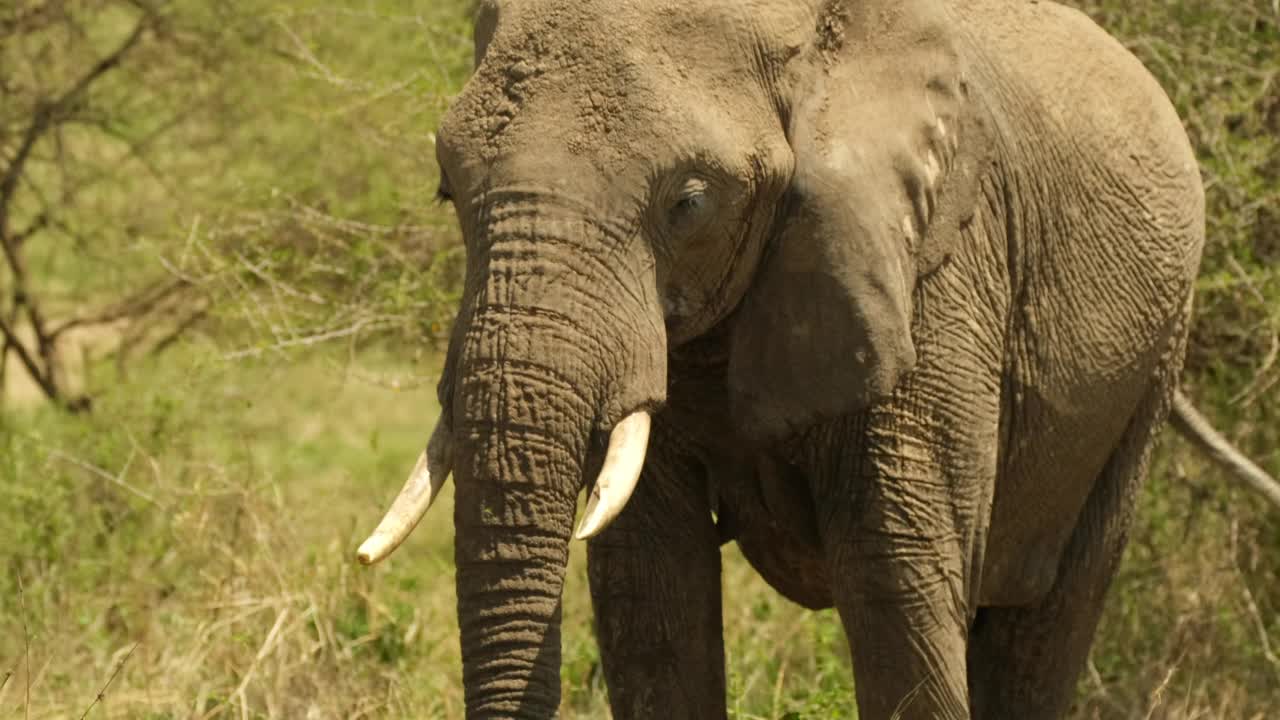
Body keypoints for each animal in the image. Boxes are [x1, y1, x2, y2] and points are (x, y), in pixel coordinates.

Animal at [353, 1, 1280, 717]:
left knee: (1047, 624)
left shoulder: (934, 271)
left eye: (689, 203)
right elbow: (650, 594)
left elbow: (893, 582)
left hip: (1150, 361)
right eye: (447, 188)